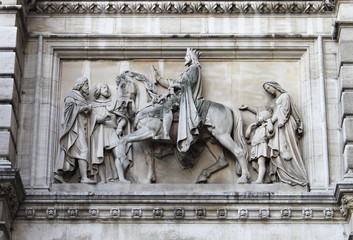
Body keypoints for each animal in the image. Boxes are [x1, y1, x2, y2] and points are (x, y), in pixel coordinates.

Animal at [114, 70, 249, 183]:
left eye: (123, 86)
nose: (120, 106)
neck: (149, 107)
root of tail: (228, 107)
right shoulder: (146, 139)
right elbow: (149, 158)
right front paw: (149, 179)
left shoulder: (148, 131)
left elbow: (123, 139)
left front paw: (121, 157)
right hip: (212, 139)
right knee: (222, 161)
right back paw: (203, 175)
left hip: (222, 135)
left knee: (239, 152)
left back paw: (244, 178)